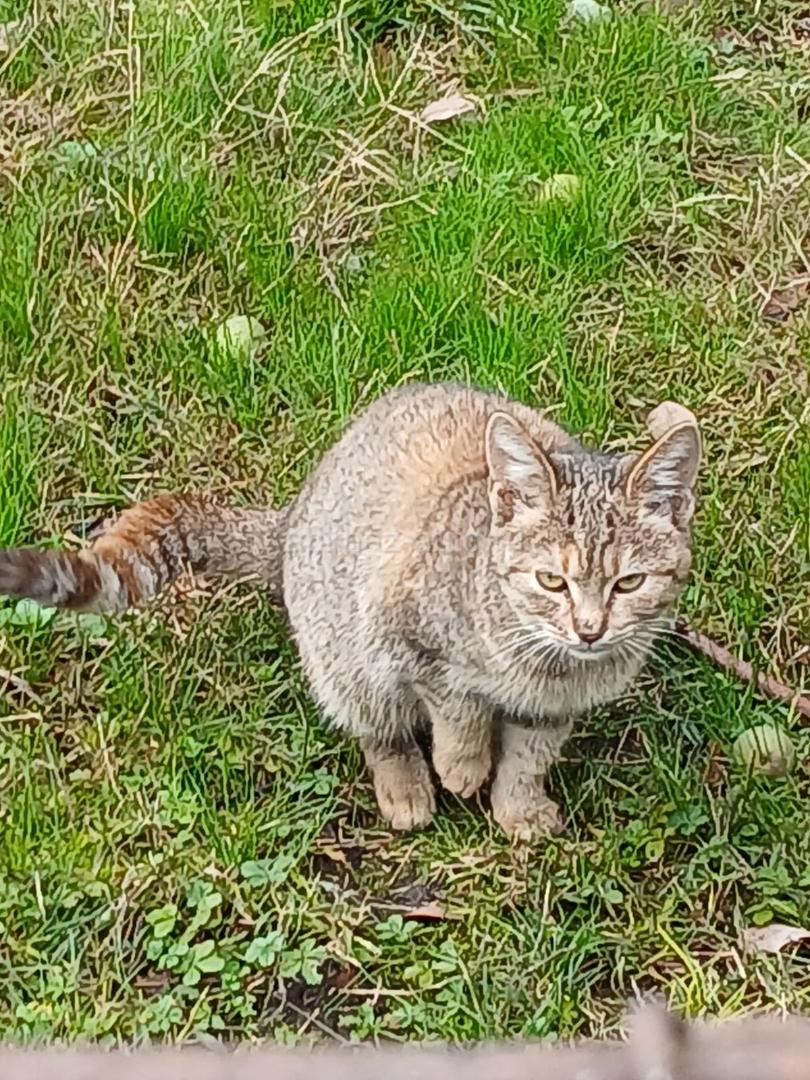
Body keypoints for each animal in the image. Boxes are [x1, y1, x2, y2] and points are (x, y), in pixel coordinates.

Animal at [0, 383, 700, 840]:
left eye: (629, 582)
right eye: (551, 580)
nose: (590, 630)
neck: (547, 664)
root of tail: (290, 524)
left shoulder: (553, 707)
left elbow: (530, 755)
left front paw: (518, 806)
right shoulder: (405, 635)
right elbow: (458, 703)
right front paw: (463, 764)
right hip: (343, 649)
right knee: (376, 725)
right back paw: (407, 784)